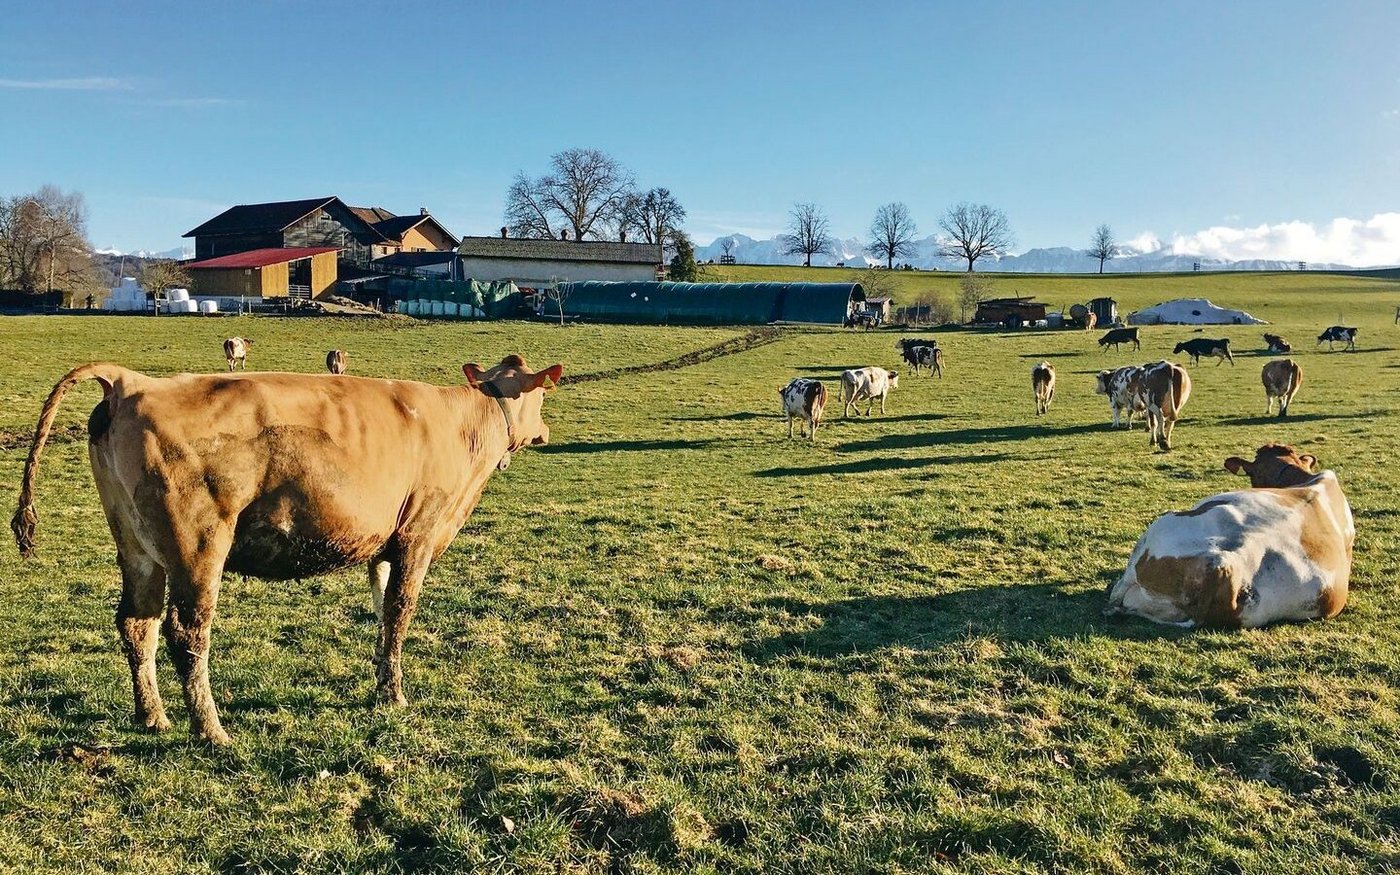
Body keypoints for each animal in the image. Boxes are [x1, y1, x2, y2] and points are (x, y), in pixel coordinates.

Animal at [10, 354, 563, 744]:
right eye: (543, 394)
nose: (544, 432)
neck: (467, 422)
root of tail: (134, 381)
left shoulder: (383, 544)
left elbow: (381, 610)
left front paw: (380, 687)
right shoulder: (418, 533)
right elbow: (400, 612)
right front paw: (395, 695)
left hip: (136, 546)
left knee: (136, 624)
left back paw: (154, 717)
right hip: (198, 543)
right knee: (186, 632)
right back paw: (210, 730)